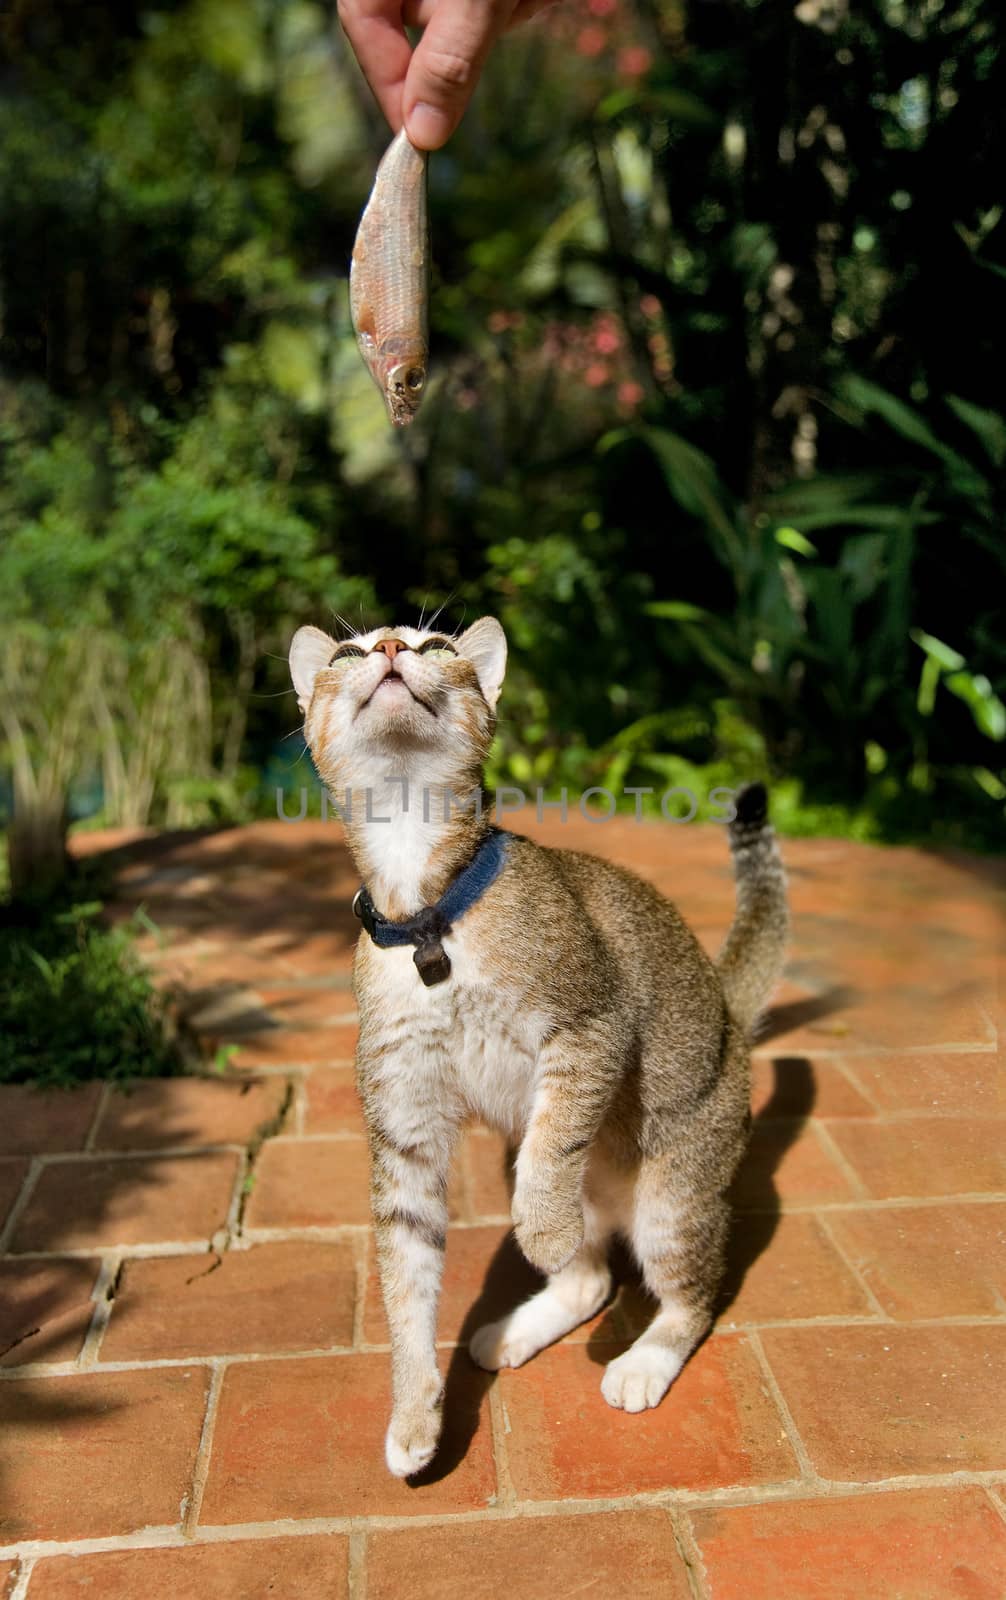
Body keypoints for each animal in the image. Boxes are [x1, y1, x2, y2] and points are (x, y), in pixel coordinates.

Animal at [286, 611, 790, 1472]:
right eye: (349, 653)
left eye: (436, 646)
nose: (387, 649)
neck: (431, 926)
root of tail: (726, 1004)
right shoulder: (406, 1132)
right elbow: (405, 1282)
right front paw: (416, 1411)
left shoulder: (592, 1025)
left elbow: (554, 1145)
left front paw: (542, 1223)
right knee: (591, 1282)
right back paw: (517, 1327)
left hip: (673, 1199)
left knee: (691, 1293)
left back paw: (643, 1359)